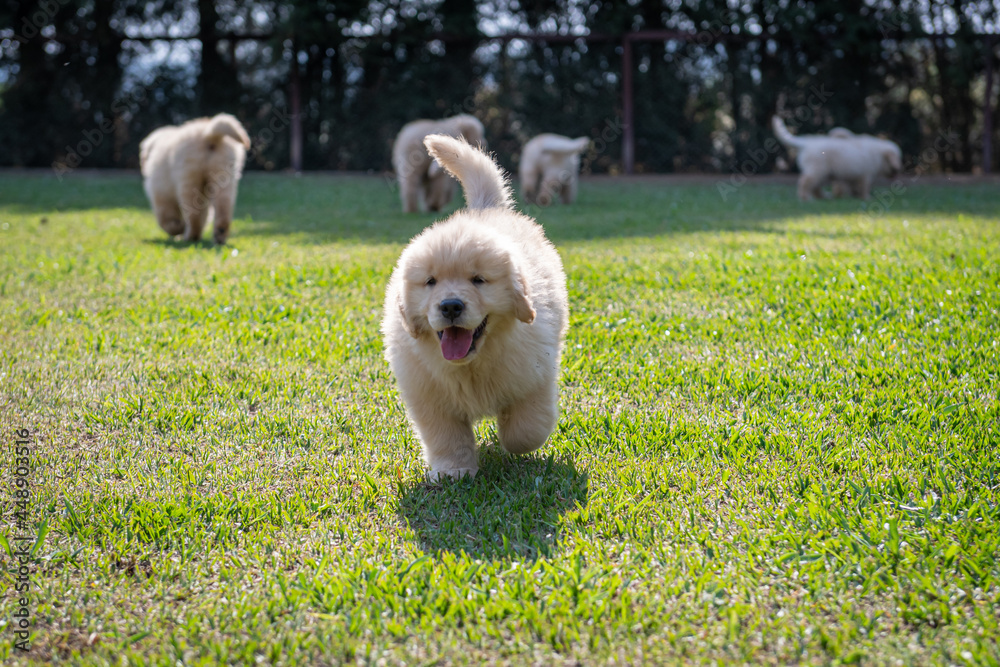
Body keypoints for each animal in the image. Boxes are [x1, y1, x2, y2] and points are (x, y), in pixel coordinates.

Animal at [139, 115, 250, 245]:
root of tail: (209, 135)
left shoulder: (161, 192)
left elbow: (166, 218)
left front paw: (177, 229)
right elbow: (204, 215)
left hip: (189, 179)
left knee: (194, 217)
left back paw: (191, 236)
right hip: (224, 178)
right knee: (223, 209)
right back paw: (219, 235)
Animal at [380, 134, 572, 480]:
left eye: (478, 280)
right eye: (430, 281)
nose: (450, 306)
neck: (471, 365)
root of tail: (485, 208)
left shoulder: (534, 377)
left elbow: (527, 428)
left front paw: (512, 444)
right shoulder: (428, 397)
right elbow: (446, 436)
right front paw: (453, 471)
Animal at [768, 117, 904, 201]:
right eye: (897, 158)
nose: (898, 169)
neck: (879, 153)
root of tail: (808, 142)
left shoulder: (853, 175)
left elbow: (853, 187)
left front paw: (854, 196)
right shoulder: (865, 174)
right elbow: (864, 187)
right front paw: (866, 198)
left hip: (823, 173)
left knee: (816, 187)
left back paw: (824, 197)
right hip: (817, 170)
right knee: (805, 182)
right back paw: (806, 198)